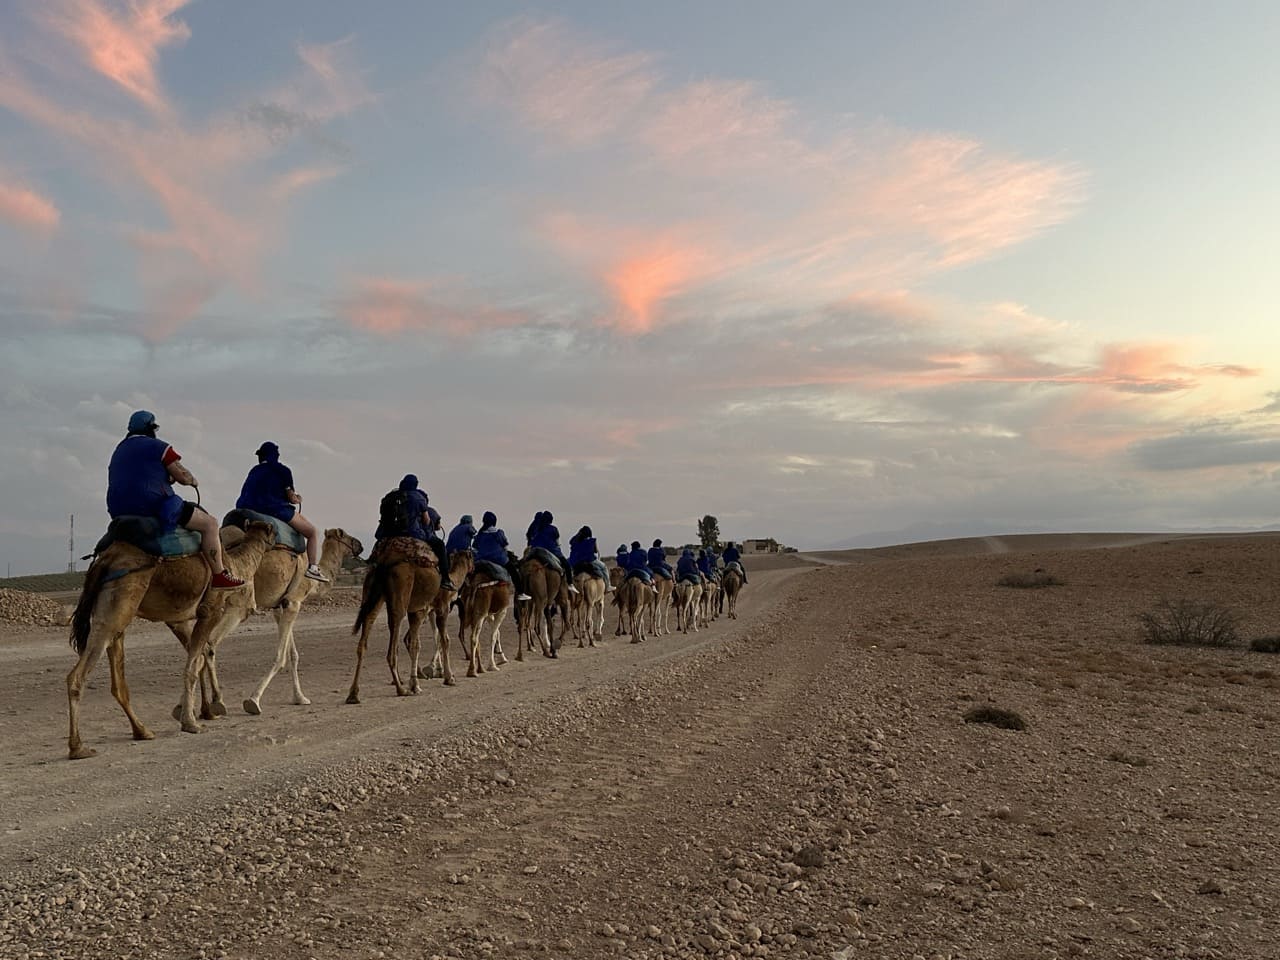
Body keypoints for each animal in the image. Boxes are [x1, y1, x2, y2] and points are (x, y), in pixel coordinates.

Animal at [66, 519, 276, 757]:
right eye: (273, 532)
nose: (277, 542)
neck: (234, 565)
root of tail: (104, 561)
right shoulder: (210, 610)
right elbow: (194, 664)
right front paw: (191, 722)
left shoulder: (178, 619)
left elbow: (199, 658)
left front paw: (205, 711)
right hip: (119, 603)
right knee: (77, 675)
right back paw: (78, 747)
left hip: (114, 612)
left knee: (118, 682)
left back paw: (142, 731)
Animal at [348, 537, 442, 701]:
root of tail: (384, 562)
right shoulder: (420, 609)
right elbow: (416, 644)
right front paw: (415, 685)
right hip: (400, 591)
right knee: (392, 649)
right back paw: (401, 689)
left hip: (373, 592)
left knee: (365, 634)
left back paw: (353, 694)